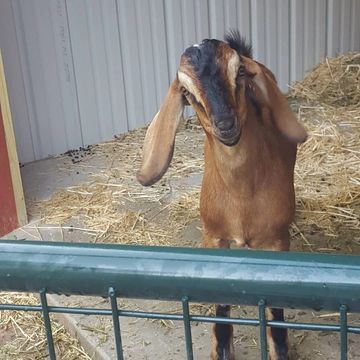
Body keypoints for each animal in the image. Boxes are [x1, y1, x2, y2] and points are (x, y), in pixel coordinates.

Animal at [136, 31, 306, 360]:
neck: (241, 199)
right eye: (186, 92)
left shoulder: (277, 242)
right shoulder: (214, 237)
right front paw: (222, 348)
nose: (226, 126)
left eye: (239, 72)